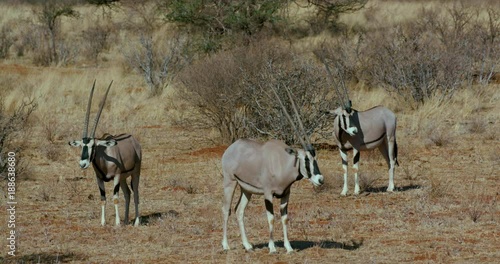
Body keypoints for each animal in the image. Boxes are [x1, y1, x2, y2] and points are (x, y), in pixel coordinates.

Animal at [69, 81, 142, 226]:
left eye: (93, 146)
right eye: (82, 146)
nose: (83, 164)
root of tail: (134, 141)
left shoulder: (116, 177)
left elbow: (115, 198)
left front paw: (117, 223)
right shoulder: (99, 179)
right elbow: (103, 198)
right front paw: (103, 222)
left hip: (135, 173)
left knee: (135, 193)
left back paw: (136, 221)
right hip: (124, 178)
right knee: (128, 194)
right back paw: (126, 220)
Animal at [222, 85, 324, 253]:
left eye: (315, 159)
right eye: (305, 159)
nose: (320, 179)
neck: (284, 162)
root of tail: (231, 148)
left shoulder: (285, 194)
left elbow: (284, 218)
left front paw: (288, 247)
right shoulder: (268, 194)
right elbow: (270, 218)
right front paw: (272, 247)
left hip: (246, 189)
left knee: (239, 211)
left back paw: (247, 245)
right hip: (230, 182)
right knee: (226, 209)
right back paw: (225, 245)